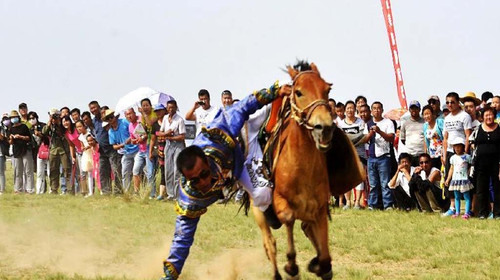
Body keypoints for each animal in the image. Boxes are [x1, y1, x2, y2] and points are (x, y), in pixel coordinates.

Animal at [254, 61, 364, 280]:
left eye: (327, 89)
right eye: (298, 92)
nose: (325, 128)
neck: (301, 167)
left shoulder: (319, 209)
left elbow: (325, 258)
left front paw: (318, 265)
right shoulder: (280, 200)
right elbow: (288, 218)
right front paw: (291, 266)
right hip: (258, 211)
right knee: (270, 244)